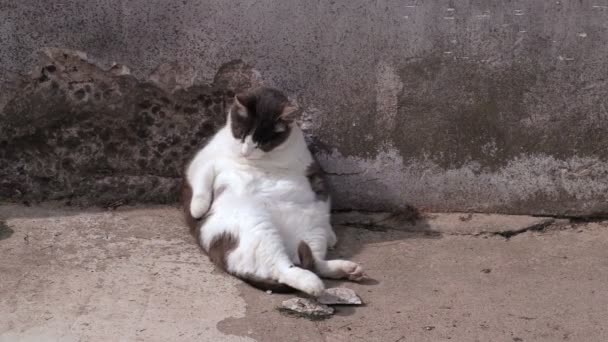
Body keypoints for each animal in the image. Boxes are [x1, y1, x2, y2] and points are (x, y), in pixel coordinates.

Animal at [178, 87, 364, 296]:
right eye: (241, 135)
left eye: (262, 143)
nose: (246, 152)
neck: (263, 160)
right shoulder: (203, 161)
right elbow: (201, 185)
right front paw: (198, 210)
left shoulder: (314, 172)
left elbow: (325, 200)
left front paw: (332, 234)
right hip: (258, 231)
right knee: (284, 268)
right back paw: (314, 283)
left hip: (310, 228)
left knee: (313, 263)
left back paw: (344, 270)